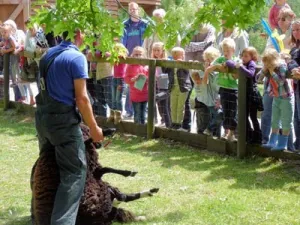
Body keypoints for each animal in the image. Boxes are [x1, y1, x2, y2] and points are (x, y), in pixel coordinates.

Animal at [31, 124, 159, 224]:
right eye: (89, 129)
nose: (100, 143)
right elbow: (88, 142)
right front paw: (107, 131)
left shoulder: (95, 171)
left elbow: (107, 168)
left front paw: (129, 172)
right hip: (95, 204)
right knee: (117, 203)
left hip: (101, 193)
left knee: (121, 198)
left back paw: (151, 192)